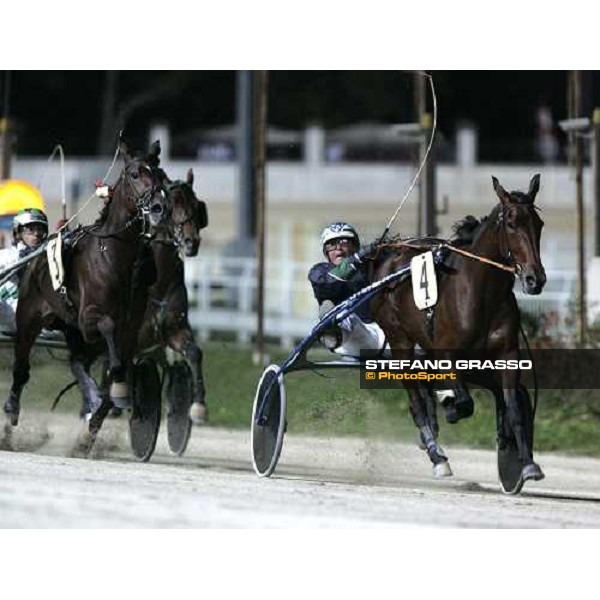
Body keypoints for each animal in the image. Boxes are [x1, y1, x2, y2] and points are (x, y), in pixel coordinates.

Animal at [4, 142, 169, 426]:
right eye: (135, 174)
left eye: (159, 174)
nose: (159, 208)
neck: (115, 257)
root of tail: (35, 262)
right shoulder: (89, 319)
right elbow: (109, 339)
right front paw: (110, 398)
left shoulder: (131, 325)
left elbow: (120, 364)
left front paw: (104, 408)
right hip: (29, 318)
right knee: (21, 366)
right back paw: (12, 408)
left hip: (69, 327)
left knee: (79, 362)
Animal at [370, 176, 544, 490]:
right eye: (512, 223)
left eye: (539, 223)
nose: (535, 279)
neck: (482, 291)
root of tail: (387, 256)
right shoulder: (447, 352)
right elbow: (463, 402)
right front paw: (449, 404)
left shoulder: (506, 353)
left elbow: (513, 405)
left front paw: (525, 463)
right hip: (399, 339)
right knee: (416, 401)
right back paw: (437, 454)